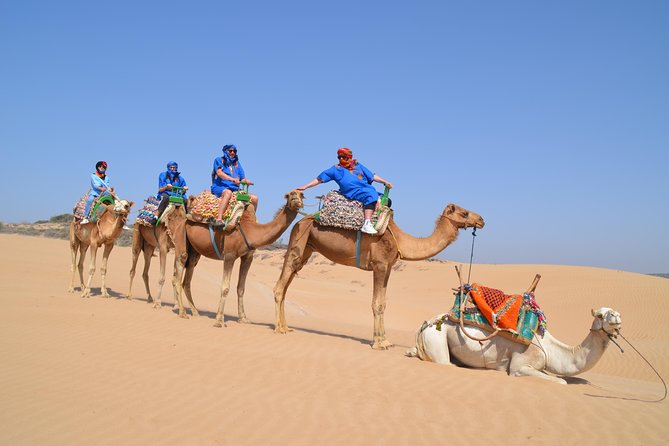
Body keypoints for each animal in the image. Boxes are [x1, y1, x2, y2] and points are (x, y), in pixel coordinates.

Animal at [182, 190, 304, 325]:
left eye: (302, 195)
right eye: (289, 195)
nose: (296, 199)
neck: (250, 230)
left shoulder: (248, 257)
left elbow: (241, 288)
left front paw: (243, 318)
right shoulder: (229, 255)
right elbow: (225, 287)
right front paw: (219, 320)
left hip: (194, 250)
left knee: (186, 280)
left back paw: (194, 311)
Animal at [273, 203, 485, 350]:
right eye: (464, 213)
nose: (482, 219)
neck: (401, 240)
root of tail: (299, 221)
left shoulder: (388, 268)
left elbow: (383, 303)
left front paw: (385, 340)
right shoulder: (380, 265)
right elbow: (376, 304)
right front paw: (377, 343)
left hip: (307, 249)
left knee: (287, 283)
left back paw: (286, 327)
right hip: (298, 243)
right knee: (280, 286)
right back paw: (279, 329)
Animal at [406, 307, 623, 384]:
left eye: (614, 311)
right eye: (600, 315)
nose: (617, 317)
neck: (549, 348)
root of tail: (425, 324)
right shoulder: (520, 366)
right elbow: (561, 381)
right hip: (436, 337)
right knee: (445, 362)